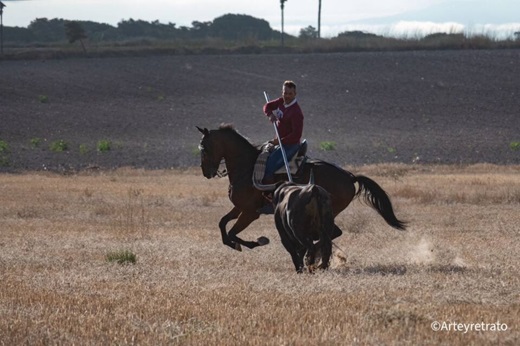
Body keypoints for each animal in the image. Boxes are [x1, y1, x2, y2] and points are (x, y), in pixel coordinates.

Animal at [197, 124, 404, 251]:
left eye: (204, 148)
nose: (206, 172)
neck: (246, 167)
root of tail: (349, 176)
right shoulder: (239, 207)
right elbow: (222, 224)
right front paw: (233, 244)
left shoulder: (250, 213)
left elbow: (233, 232)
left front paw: (256, 242)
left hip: (328, 212)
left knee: (331, 233)